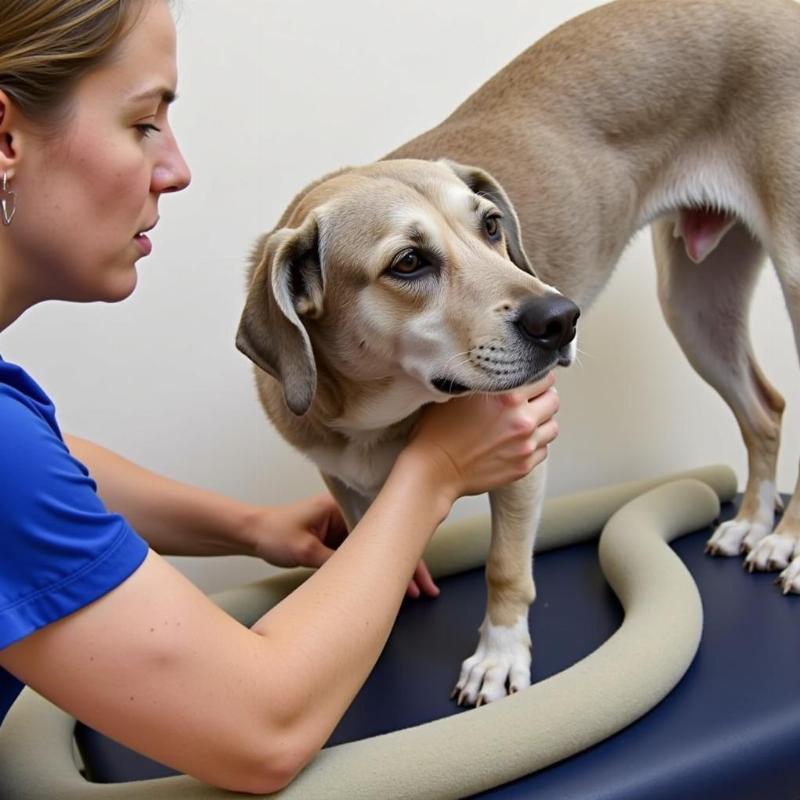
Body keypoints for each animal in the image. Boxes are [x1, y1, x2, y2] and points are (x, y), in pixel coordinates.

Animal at [234, 0, 800, 708]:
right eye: (408, 262)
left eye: (491, 225)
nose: (561, 319)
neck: (377, 413)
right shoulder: (346, 483)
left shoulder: (525, 456)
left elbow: (506, 567)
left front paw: (498, 658)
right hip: (695, 309)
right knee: (765, 409)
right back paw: (751, 520)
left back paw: (786, 542)